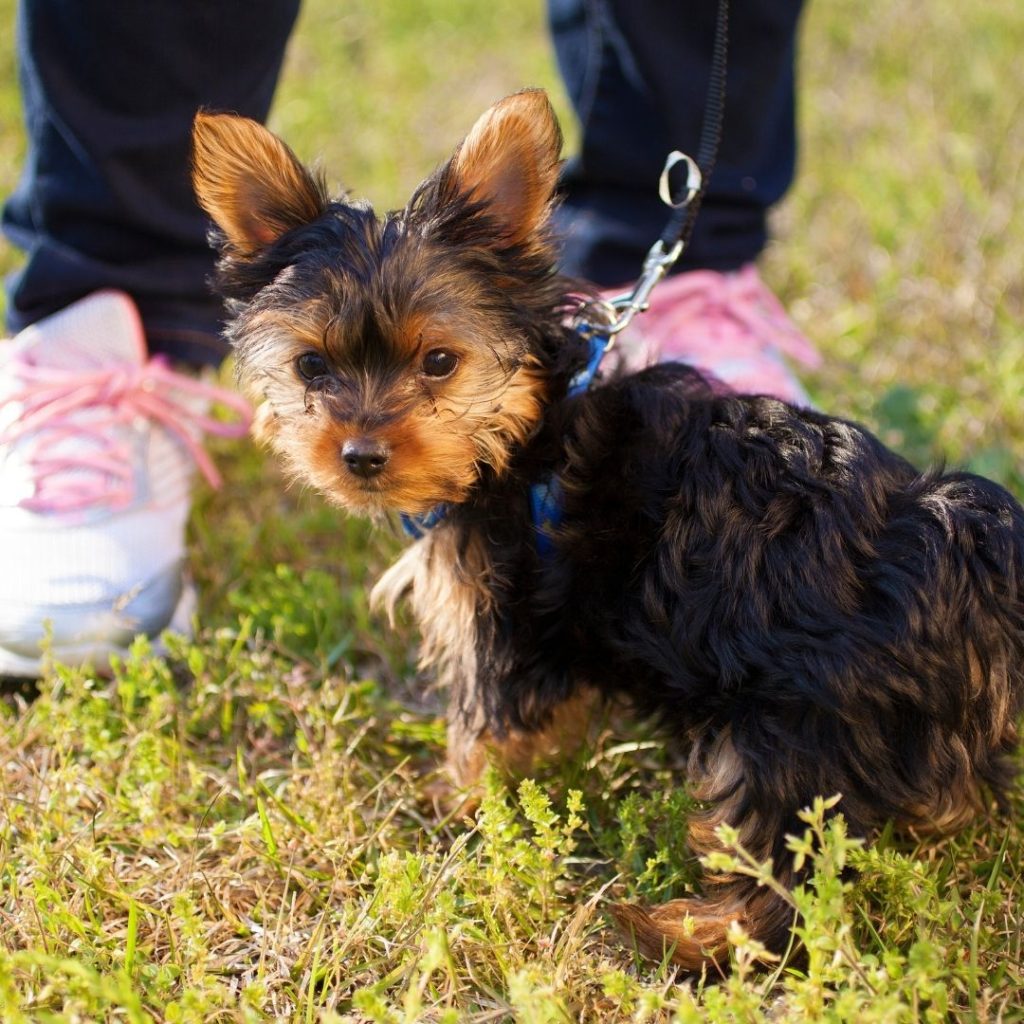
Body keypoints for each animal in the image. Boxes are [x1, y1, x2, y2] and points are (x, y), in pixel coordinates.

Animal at [192, 88, 1024, 966]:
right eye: (311, 367)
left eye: (441, 362)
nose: (359, 454)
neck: (524, 432)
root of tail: (954, 548)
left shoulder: (502, 613)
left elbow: (485, 727)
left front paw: (454, 799)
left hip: (802, 728)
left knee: (787, 874)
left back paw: (682, 930)